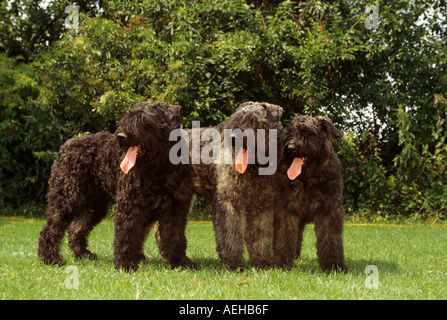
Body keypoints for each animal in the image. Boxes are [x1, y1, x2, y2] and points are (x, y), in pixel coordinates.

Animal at [37, 101, 199, 272]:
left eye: (145, 121)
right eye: (127, 119)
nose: (121, 136)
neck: (160, 169)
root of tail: (65, 146)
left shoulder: (175, 209)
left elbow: (175, 237)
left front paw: (181, 262)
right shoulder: (130, 206)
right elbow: (126, 235)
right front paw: (125, 264)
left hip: (96, 206)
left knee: (76, 229)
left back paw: (83, 254)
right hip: (67, 198)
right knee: (51, 228)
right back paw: (50, 258)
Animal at [187, 102, 286, 270]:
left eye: (254, 122)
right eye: (234, 120)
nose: (234, 139)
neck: (254, 168)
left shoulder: (262, 204)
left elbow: (260, 234)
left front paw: (262, 261)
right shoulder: (230, 201)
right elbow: (230, 233)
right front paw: (234, 264)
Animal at [272, 115, 348, 272]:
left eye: (309, 133)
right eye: (290, 132)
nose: (291, 148)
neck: (308, 178)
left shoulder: (329, 211)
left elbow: (330, 239)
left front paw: (333, 265)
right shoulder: (287, 210)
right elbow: (284, 236)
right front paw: (281, 263)